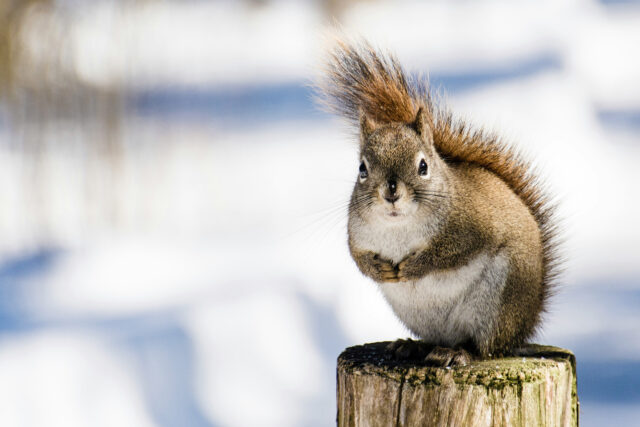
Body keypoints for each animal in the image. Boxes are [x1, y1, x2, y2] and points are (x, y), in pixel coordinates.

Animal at [317, 39, 560, 367]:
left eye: (423, 166)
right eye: (362, 169)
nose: (391, 192)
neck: (398, 227)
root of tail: (524, 326)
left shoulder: (472, 228)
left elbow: (450, 253)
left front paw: (413, 267)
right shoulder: (357, 234)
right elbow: (357, 257)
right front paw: (379, 269)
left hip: (499, 303)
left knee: (485, 346)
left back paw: (459, 352)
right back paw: (412, 346)